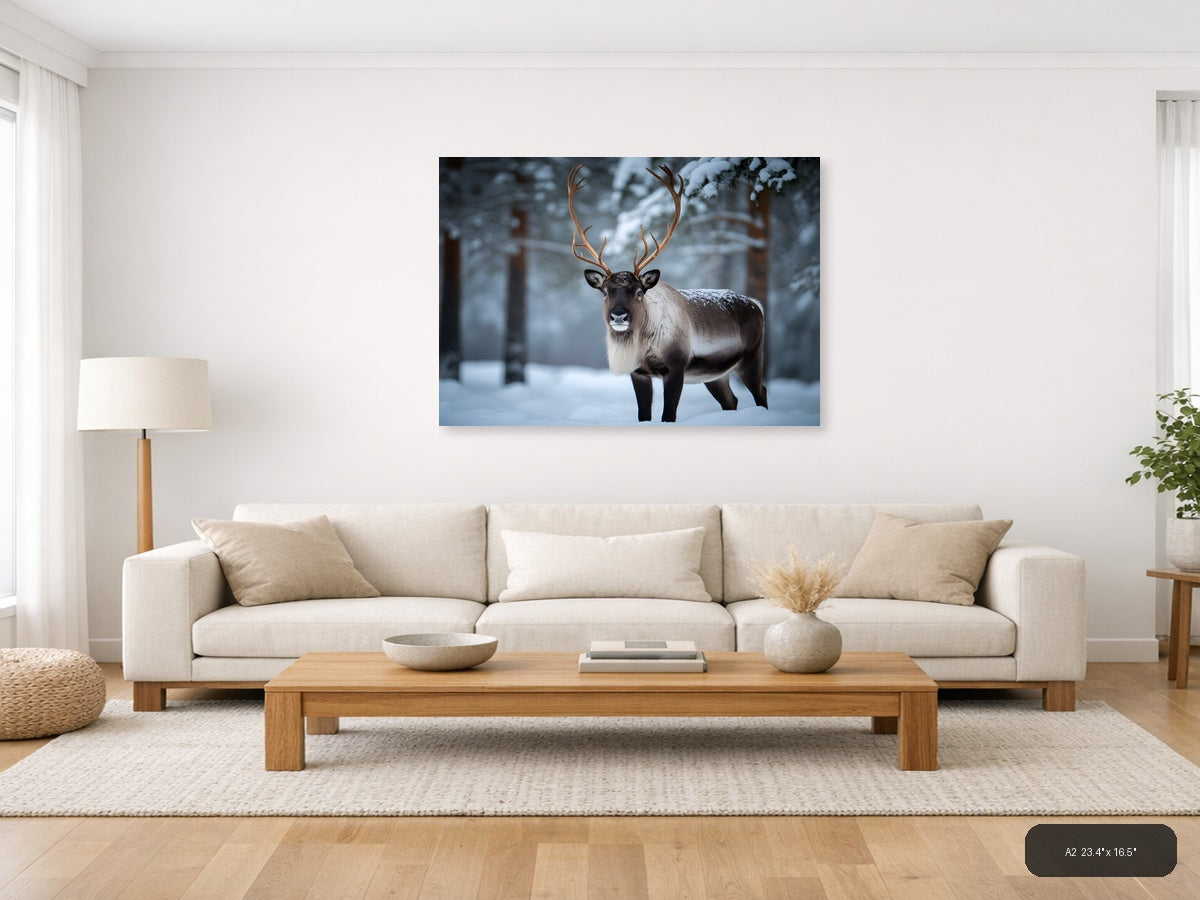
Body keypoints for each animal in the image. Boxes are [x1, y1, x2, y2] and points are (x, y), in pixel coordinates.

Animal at [568, 163, 768, 423]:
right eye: (604, 292)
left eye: (639, 291)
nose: (619, 315)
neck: (645, 346)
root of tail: (758, 305)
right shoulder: (639, 373)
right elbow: (643, 415)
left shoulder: (676, 367)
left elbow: (668, 415)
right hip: (716, 375)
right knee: (731, 401)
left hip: (752, 356)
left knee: (761, 391)